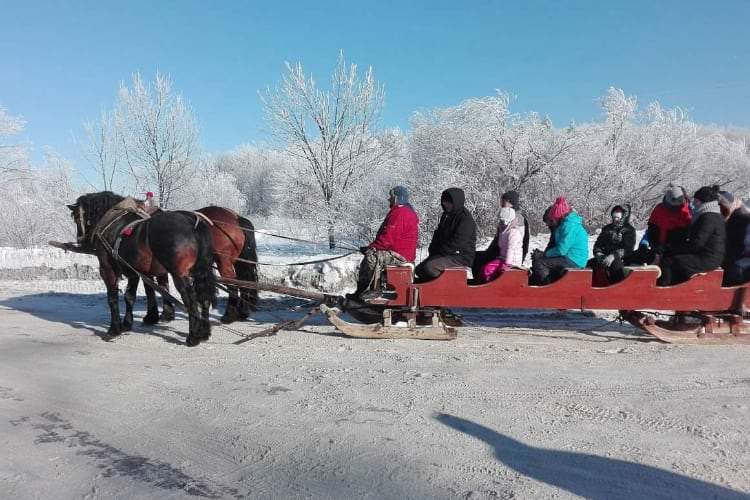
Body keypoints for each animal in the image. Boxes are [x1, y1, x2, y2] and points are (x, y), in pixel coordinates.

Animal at [67, 191, 216, 348]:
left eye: (76, 217)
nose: (80, 241)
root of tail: (193, 222)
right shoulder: (134, 272)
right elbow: (130, 296)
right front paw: (129, 323)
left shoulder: (107, 269)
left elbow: (113, 298)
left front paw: (114, 329)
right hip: (200, 271)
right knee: (204, 299)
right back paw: (204, 332)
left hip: (179, 275)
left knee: (191, 301)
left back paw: (193, 336)